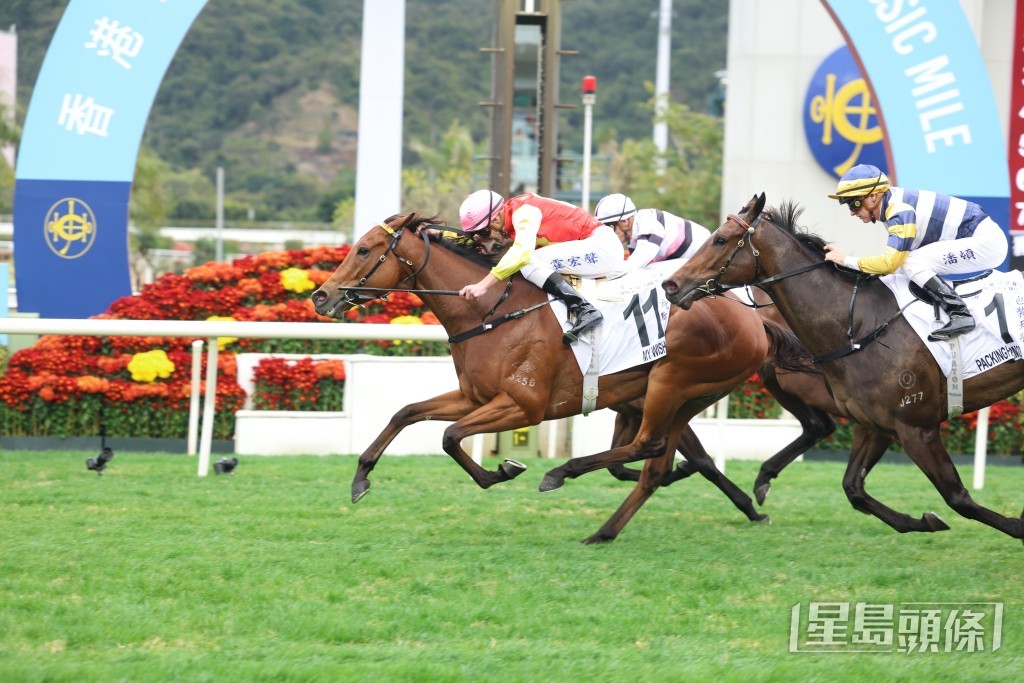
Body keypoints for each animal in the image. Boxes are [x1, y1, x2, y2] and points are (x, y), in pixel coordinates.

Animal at [309, 210, 806, 540]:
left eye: (364, 250)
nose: (320, 296)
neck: (492, 311)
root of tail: (751, 316)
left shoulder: (523, 405)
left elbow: (450, 437)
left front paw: (502, 470)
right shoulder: (475, 396)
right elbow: (407, 412)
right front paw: (361, 478)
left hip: (673, 381)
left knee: (651, 448)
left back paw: (566, 477)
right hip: (680, 396)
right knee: (657, 462)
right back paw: (610, 526)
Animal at [663, 194, 1024, 540]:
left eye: (720, 240)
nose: (671, 285)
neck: (860, 326)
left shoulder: (917, 428)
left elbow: (958, 498)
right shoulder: (876, 425)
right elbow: (854, 488)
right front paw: (921, 521)